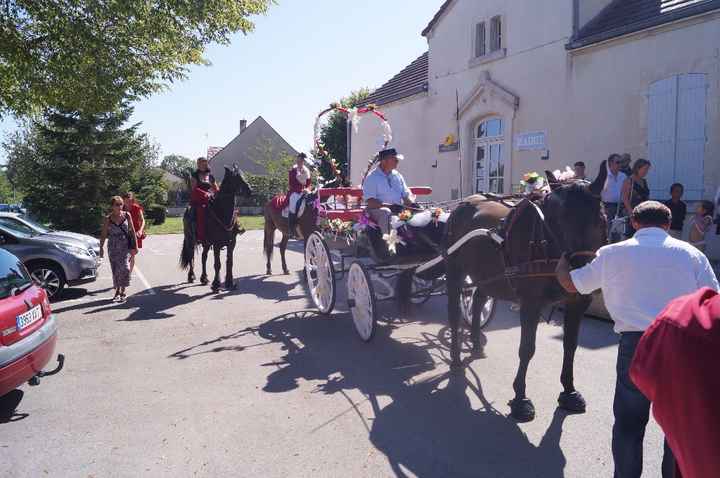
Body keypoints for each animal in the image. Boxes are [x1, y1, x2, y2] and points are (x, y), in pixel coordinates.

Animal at [180, 164, 253, 292]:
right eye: (236, 177)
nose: (250, 190)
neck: (221, 212)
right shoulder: (217, 244)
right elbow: (217, 264)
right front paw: (216, 284)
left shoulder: (231, 244)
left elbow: (229, 262)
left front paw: (230, 282)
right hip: (190, 240)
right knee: (191, 256)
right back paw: (191, 276)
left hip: (206, 243)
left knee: (203, 257)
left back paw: (204, 278)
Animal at [420, 164, 612, 422]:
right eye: (556, 221)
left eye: (600, 219)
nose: (578, 274)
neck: (546, 245)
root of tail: (463, 204)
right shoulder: (530, 304)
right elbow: (527, 350)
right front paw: (520, 399)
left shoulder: (578, 303)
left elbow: (570, 346)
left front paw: (569, 392)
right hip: (454, 271)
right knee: (453, 313)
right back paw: (456, 358)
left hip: (486, 273)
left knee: (478, 300)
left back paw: (476, 344)